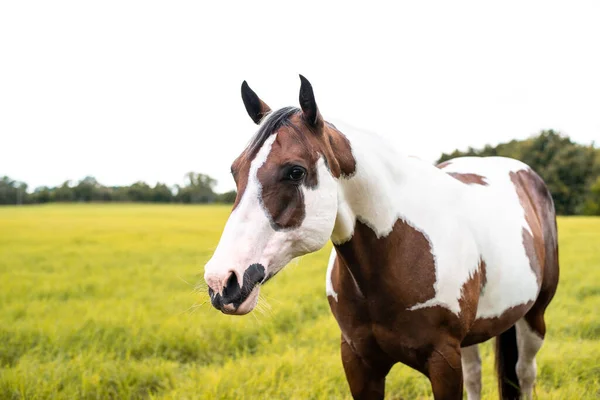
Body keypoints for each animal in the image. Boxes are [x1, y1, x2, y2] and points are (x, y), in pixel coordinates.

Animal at [204, 76, 560, 400]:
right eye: (235, 171)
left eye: (295, 171)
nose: (222, 281)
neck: (397, 250)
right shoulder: (358, 361)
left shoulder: (443, 360)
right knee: (476, 375)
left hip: (534, 318)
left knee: (525, 373)